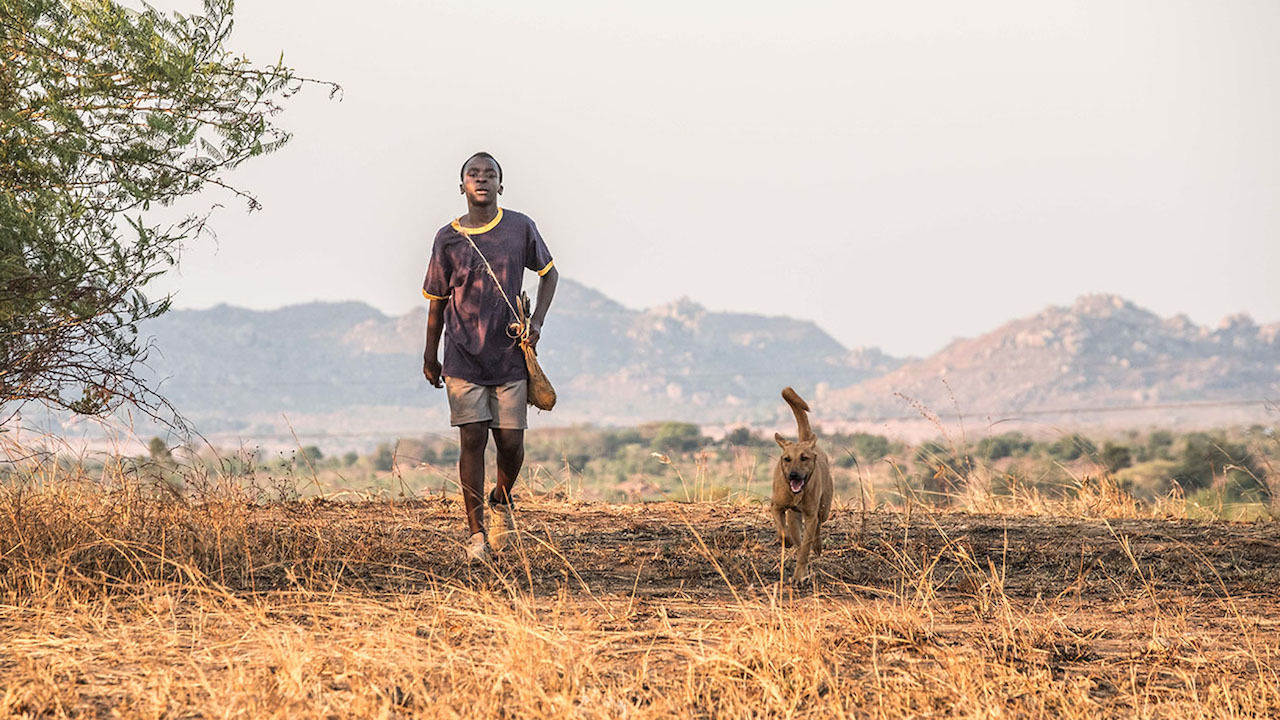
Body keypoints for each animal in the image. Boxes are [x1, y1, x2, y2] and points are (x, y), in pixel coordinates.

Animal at [762, 384, 834, 579]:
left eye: (804, 458)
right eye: (787, 459)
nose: (793, 475)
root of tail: (806, 440)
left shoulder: (810, 515)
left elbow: (805, 547)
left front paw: (800, 574)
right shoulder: (777, 507)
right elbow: (784, 531)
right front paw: (786, 541)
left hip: (824, 508)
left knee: (818, 527)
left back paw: (817, 546)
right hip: (794, 516)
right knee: (796, 534)